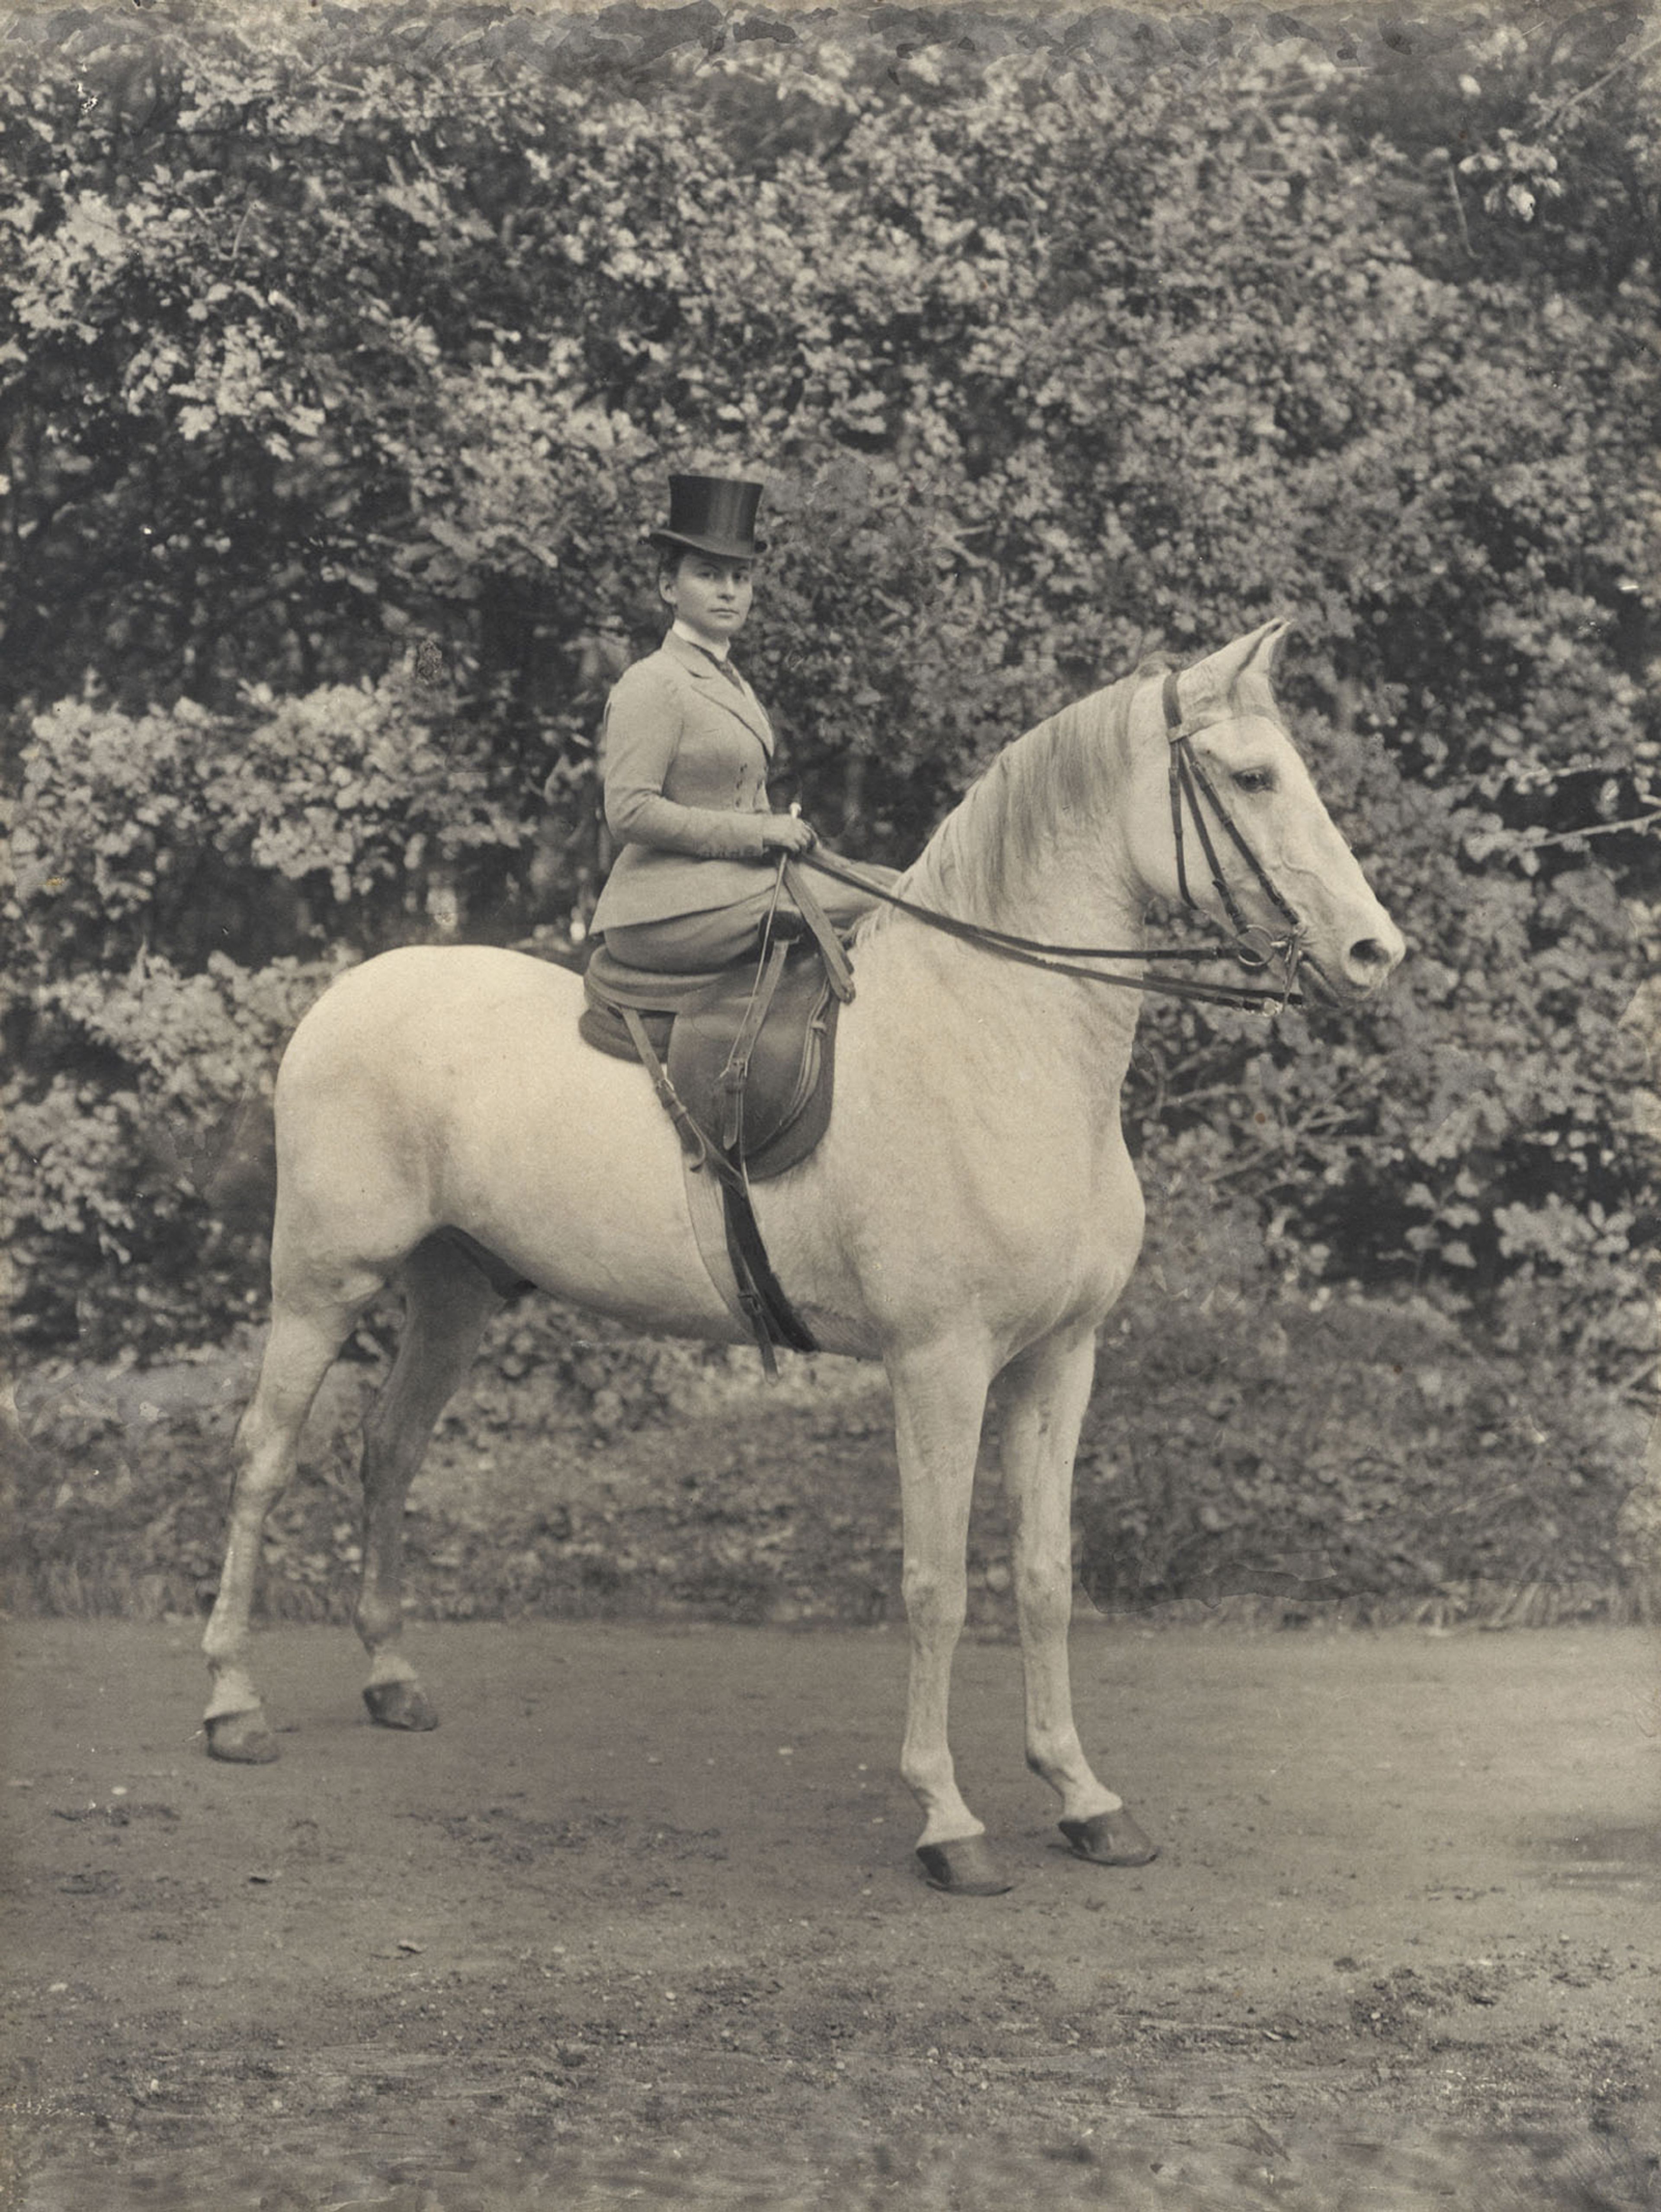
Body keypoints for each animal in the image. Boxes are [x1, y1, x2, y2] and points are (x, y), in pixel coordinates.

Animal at [201, 620, 1404, 1895]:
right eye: (1251, 777)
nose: (1375, 950)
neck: (1002, 1040)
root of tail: (343, 995)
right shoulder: (939, 1365)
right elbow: (937, 1587)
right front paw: (948, 1818)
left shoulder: (1060, 1359)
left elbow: (1044, 1578)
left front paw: (1083, 1794)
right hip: (321, 1285)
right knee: (264, 1460)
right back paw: (232, 1703)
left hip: (453, 1292)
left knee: (389, 1450)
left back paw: (389, 1680)